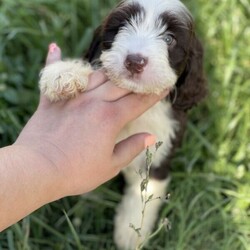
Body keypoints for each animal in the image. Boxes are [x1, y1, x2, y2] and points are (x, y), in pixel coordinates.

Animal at [39, 0, 207, 249]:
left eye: (169, 39)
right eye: (121, 27)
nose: (135, 62)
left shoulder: (161, 144)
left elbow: (146, 188)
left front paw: (131, 232)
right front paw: (64, 73)